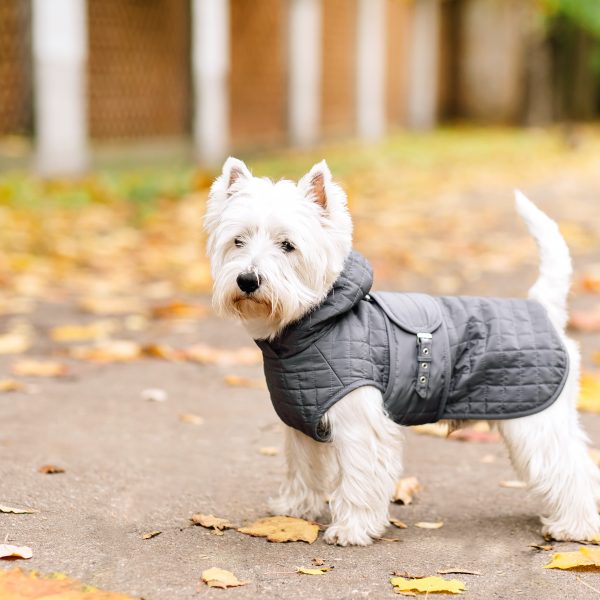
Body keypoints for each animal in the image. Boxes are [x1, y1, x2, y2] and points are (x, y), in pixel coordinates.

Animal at [206, 157, 600, 548]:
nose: (247, 280)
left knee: (572, 469)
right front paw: (293, 511)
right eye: (238, 241)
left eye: (287, 245)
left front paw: (351, 529)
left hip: (536, 420)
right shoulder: (301, 420)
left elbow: (359, 479)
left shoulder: (360, 425)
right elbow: (303, 467)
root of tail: (543, 308)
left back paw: (574, 527)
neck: (311, 324)